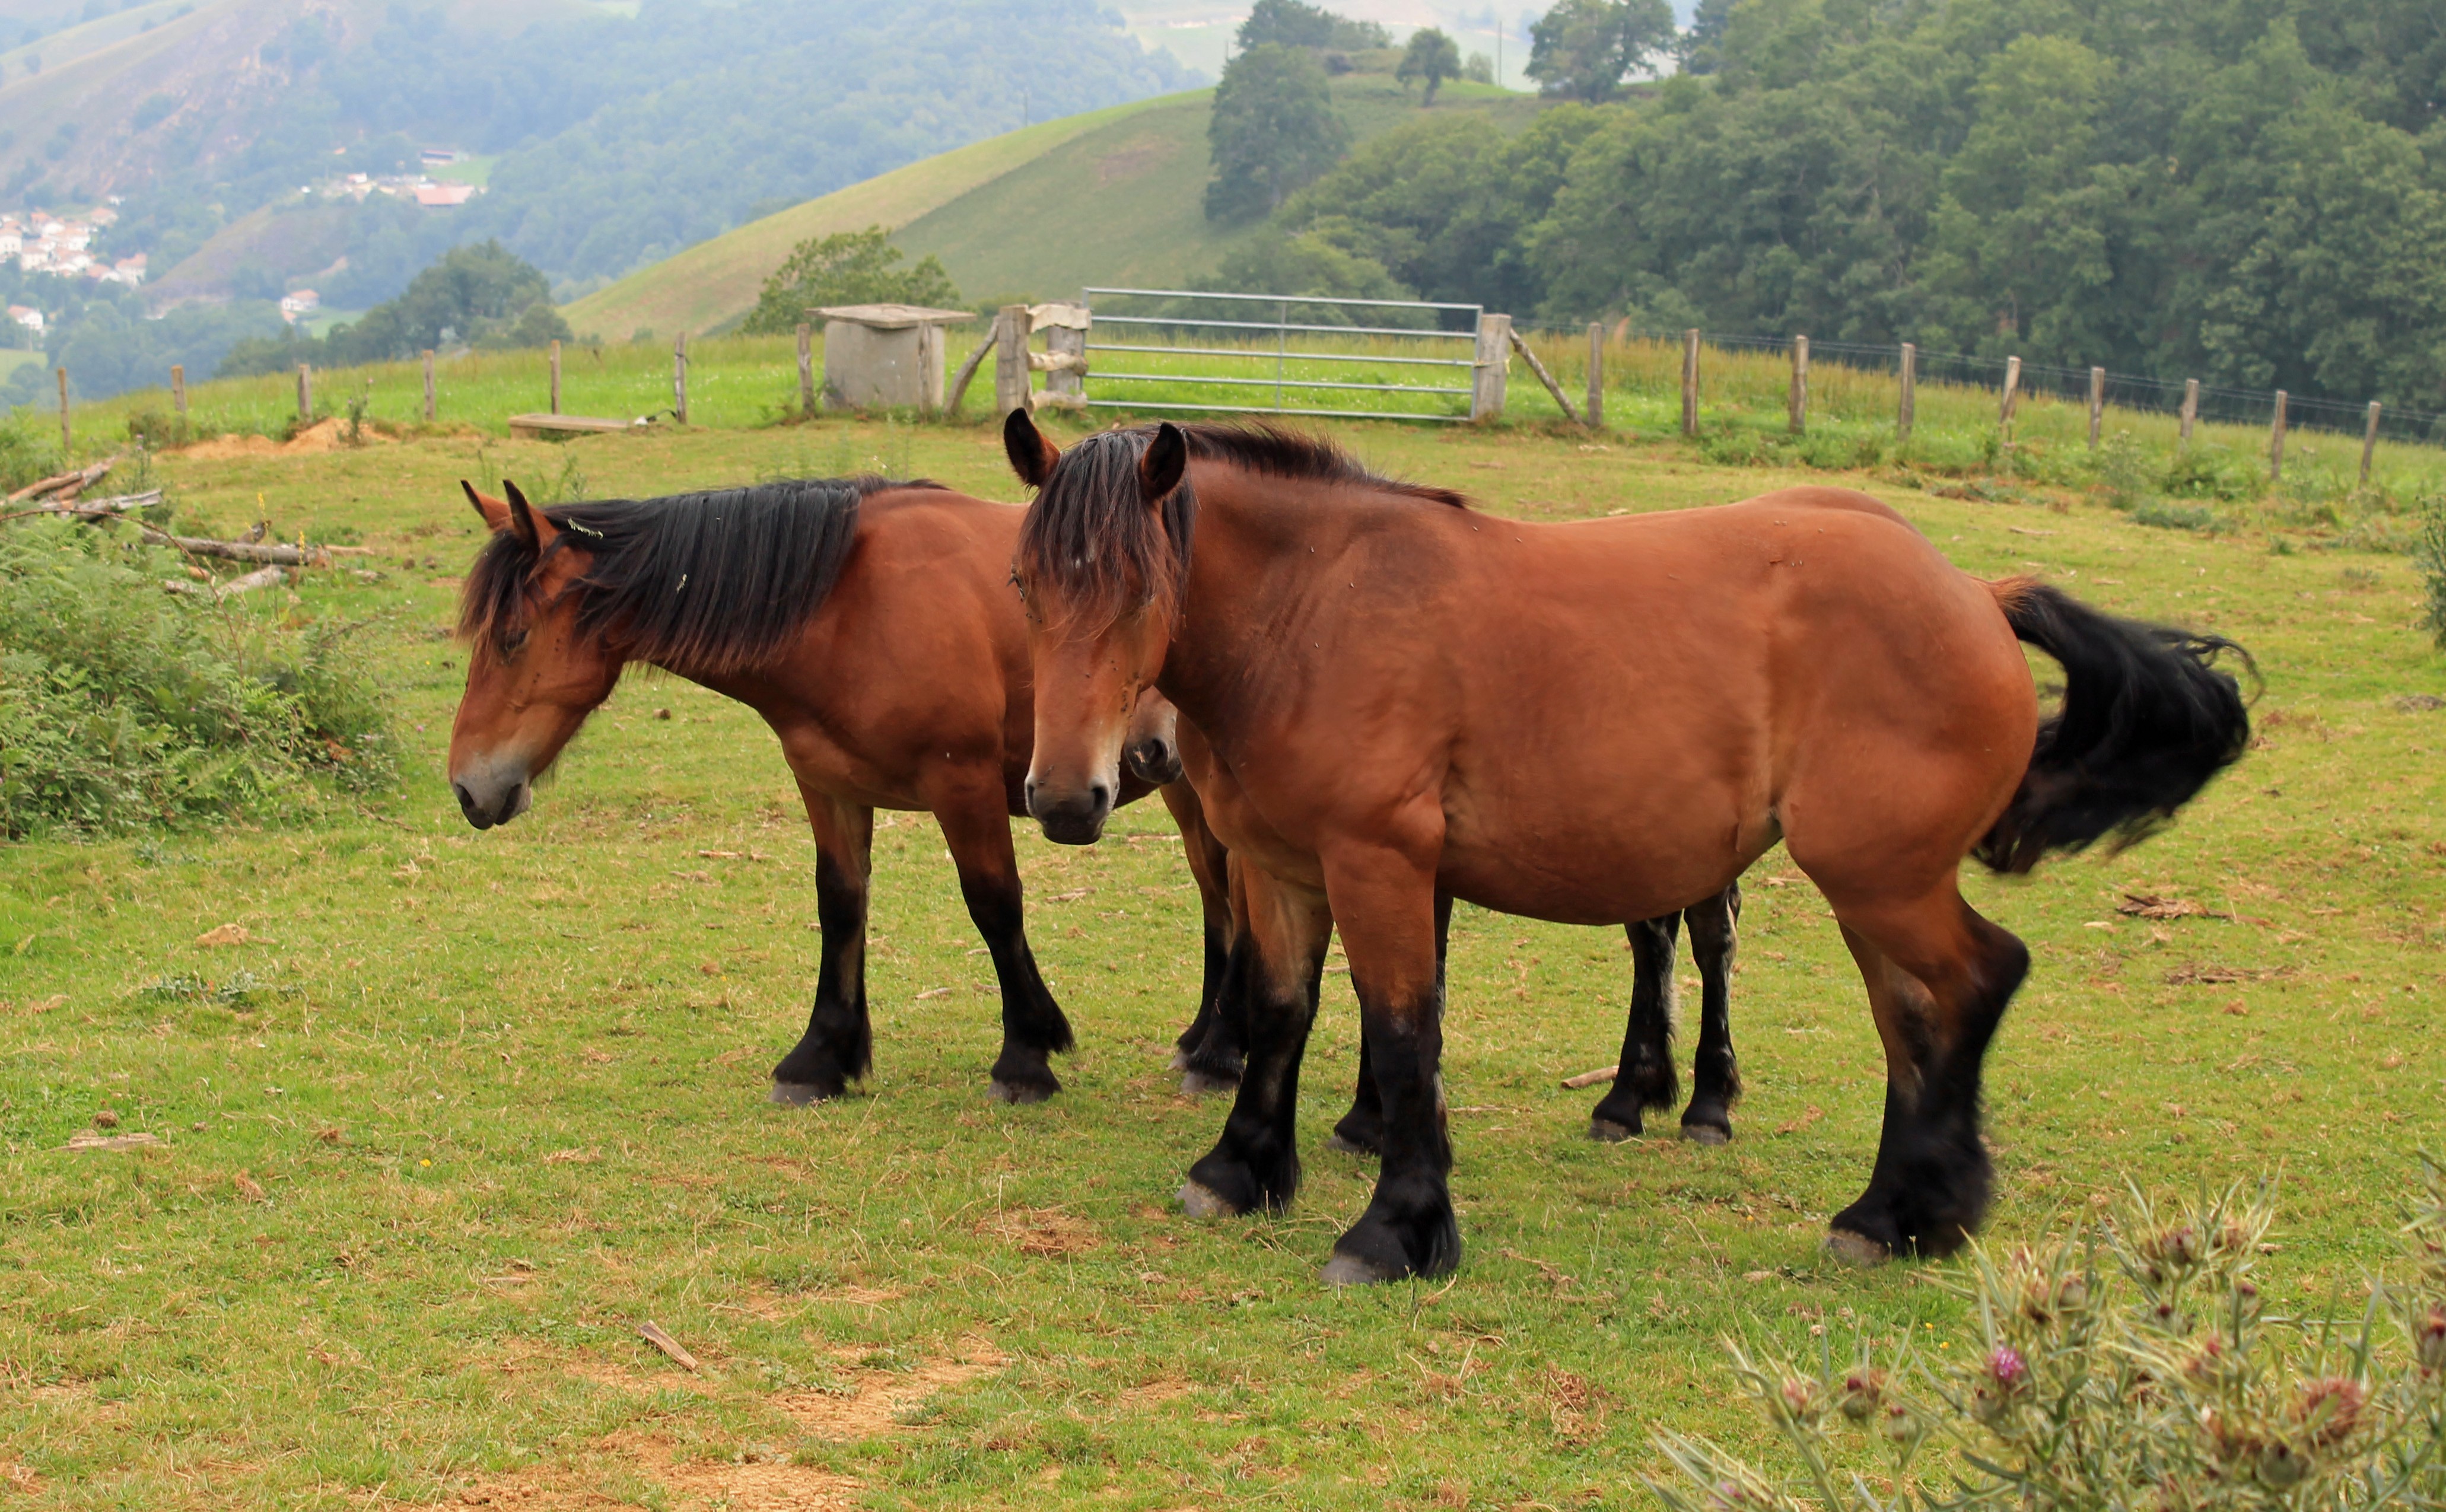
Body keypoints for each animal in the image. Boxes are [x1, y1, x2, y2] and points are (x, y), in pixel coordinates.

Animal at [447, 477, 1232, 1101]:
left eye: (512, 636)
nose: (465, 786)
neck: (850, 604)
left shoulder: (964, 783)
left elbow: (994, 905)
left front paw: (1025, 1055)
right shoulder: (828, 786)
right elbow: (841, 905)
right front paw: (821, 1058)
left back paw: (1219, 1052)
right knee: (1217, 891)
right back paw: (1205, 1039)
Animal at [1003, 416, 2240, 1282]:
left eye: (1141, 588)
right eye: (1025, 581)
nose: (1066, 794)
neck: (1319, 612)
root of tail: (1976, 592)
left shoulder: (1380, 864)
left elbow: (1403, 1038)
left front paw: (1398, 1229)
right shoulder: (1280, 868)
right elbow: (1276, 1015)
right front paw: (1240, 1167)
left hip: (1876, 875)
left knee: (1973, 982)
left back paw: (1910, 1205)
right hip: (1874, 886)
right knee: (1913, 1017)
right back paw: (1894, 1211)